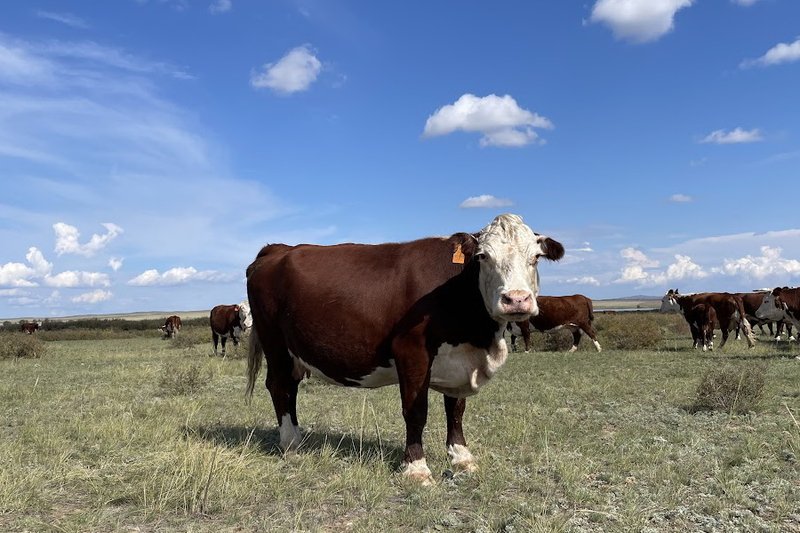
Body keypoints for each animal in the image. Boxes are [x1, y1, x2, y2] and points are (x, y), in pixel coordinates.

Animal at [244, 212, 564, 482]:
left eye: (536, 257)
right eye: (483, 256)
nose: (516, 299)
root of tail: (278, 249)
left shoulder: (459, 359)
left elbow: (456, 409)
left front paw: (461, 456)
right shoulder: (411, 350)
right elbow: (416, 410)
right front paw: (416, 468)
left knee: (291, 387)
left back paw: (298, 438)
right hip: (275, 342)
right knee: (279, 387)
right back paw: (291, 445)